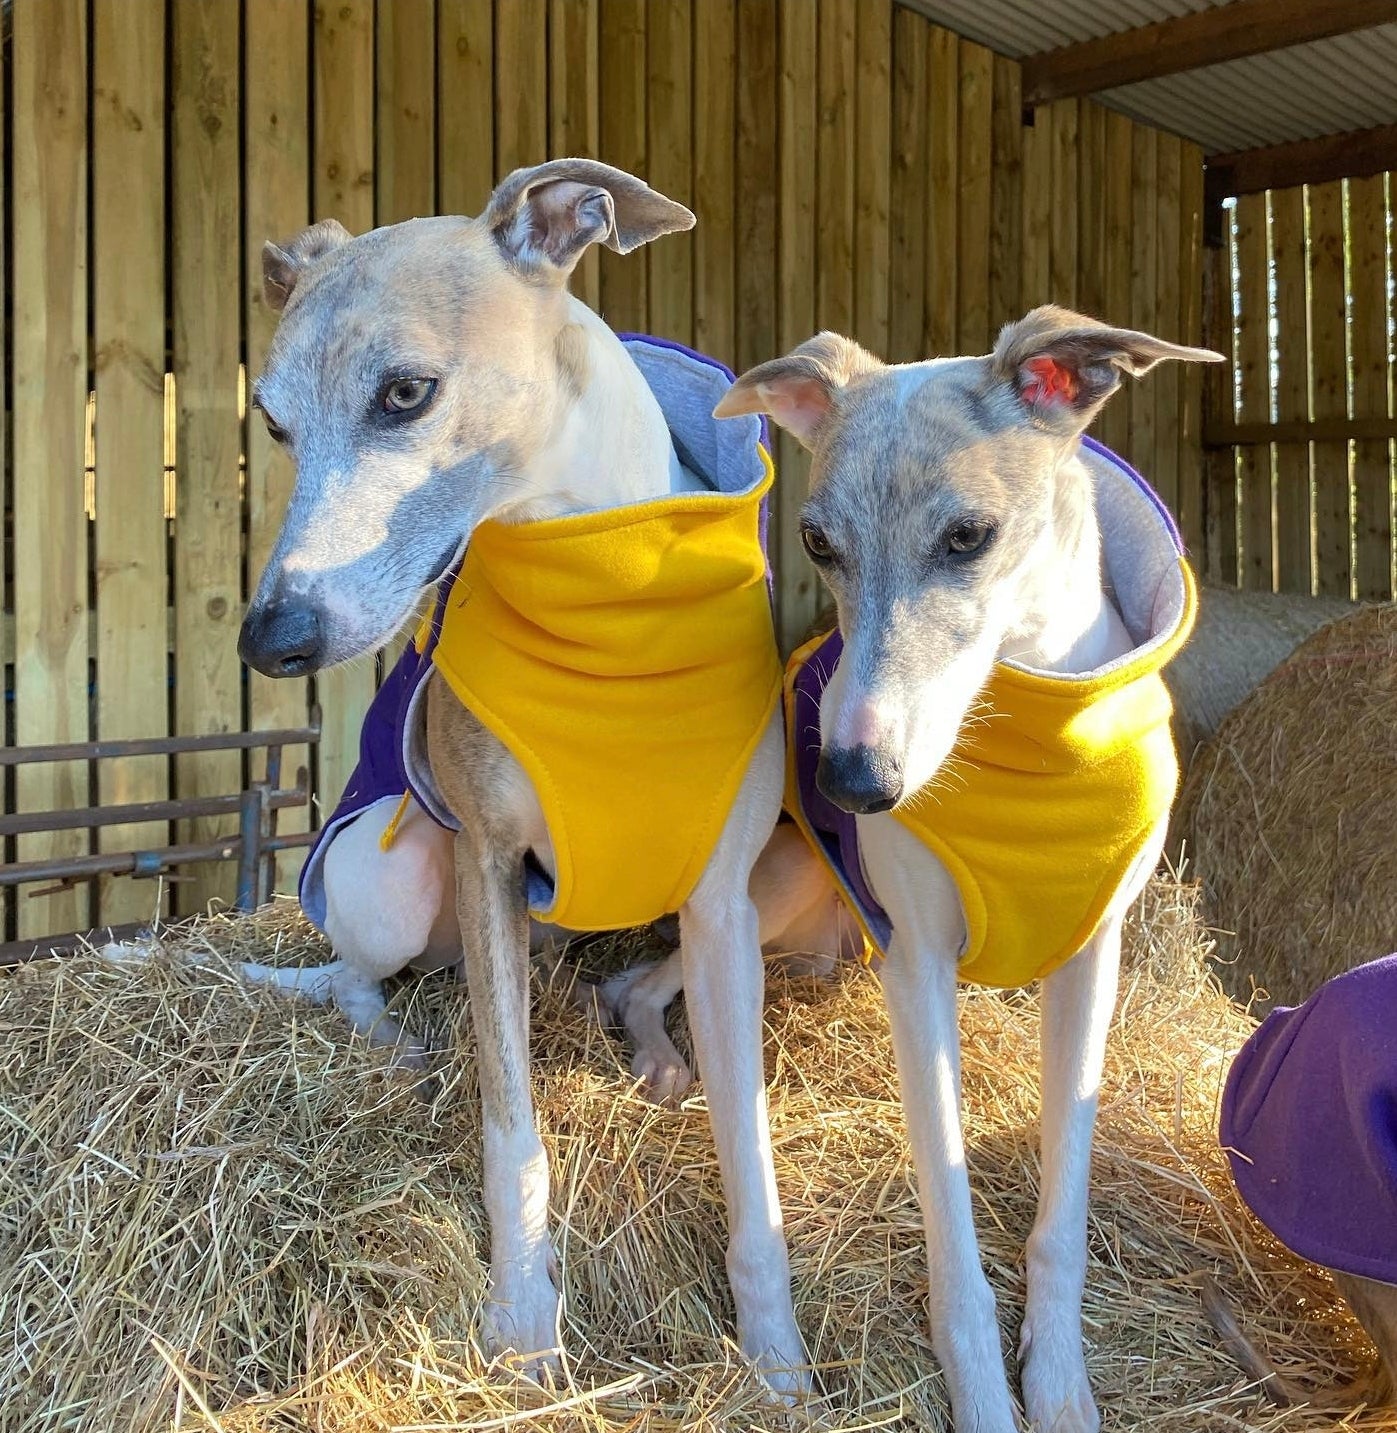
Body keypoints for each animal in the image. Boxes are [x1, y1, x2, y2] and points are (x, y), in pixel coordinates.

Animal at [237, 162, 819, 1392]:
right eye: (274, 422)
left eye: (405, 392)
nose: (270, 638)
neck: (607, 583)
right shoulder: (488, 858)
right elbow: (513, 1132)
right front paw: (520, 1323)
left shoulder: (719, 895)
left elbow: (749, 1158)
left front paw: (777, 1360)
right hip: (388, 873)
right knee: (355, 977)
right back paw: (393, 1042)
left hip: (779, 876)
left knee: (632, 982)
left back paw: (653, 1051)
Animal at [704, 308, 1220, 1427]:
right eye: (816, 541)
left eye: (969, 537)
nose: (850, 782)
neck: (1041, 729)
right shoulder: (916, 964)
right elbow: (950, 1231)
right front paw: (986, 1397)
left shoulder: (1093, 957)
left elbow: (1062, 1204)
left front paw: (1060, 1385)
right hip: (777, 891)